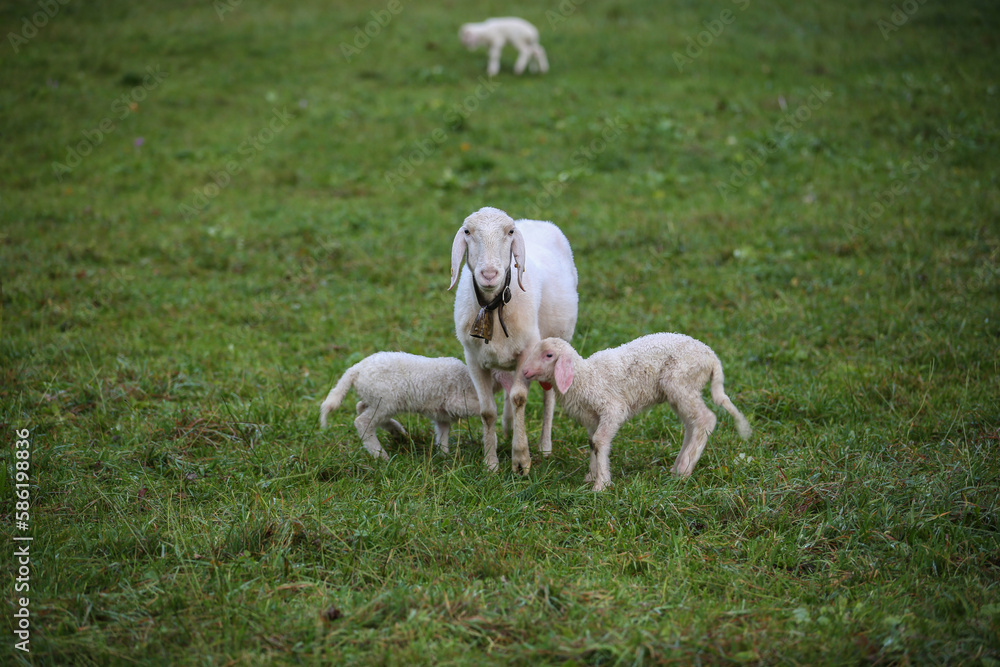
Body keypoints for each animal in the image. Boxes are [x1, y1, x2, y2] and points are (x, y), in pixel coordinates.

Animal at [319, 352, 502, 460]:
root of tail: (355, 370)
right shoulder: (456, 400)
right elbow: (482, 409)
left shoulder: (442, 414)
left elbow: (443, 433)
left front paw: (444, 457)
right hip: (386, 400)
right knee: (362, 422)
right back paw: (381, 456)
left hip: (376, 398)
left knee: (361, 407)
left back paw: (397, 432)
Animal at [450, 206, 578, 475]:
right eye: (467, 232)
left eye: (509, 232)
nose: (489, 274)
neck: (493, 306)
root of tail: (535, 220)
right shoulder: (473, 359)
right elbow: (487, 411)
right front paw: (490, 462)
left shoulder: (528, 352)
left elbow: (520, 398)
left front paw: (520, 461)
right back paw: (508, 428)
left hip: (555, 344)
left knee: (549, 397)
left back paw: (544, 446)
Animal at [521, 334, 752, 491]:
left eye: (549, 355)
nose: (524, 371)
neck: (585, 377)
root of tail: (711, 356)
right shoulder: (592, 417)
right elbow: (592, 443)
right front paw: (592, 475)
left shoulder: (612, 409)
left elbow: (600, 441)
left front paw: (601, 484)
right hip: (680, 390)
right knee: (691, 424)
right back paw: (677, 467)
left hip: (681, 382)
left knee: (706, 419)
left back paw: (685, 469)